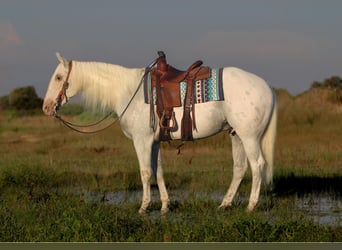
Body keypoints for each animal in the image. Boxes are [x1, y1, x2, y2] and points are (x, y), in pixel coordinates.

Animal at [43, 51, 278, 214]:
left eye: (58, 77)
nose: (46, 108)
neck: (129, 91)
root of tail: (267, 87)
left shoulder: (142, 140)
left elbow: (145, 172)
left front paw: (144, 207)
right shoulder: (154, 142)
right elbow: (159, 171)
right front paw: (165, 206)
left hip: (249, 137)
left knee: (257, 165)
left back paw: (251, 206)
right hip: (236, 135)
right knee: (239, 168)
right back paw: (224, 204)